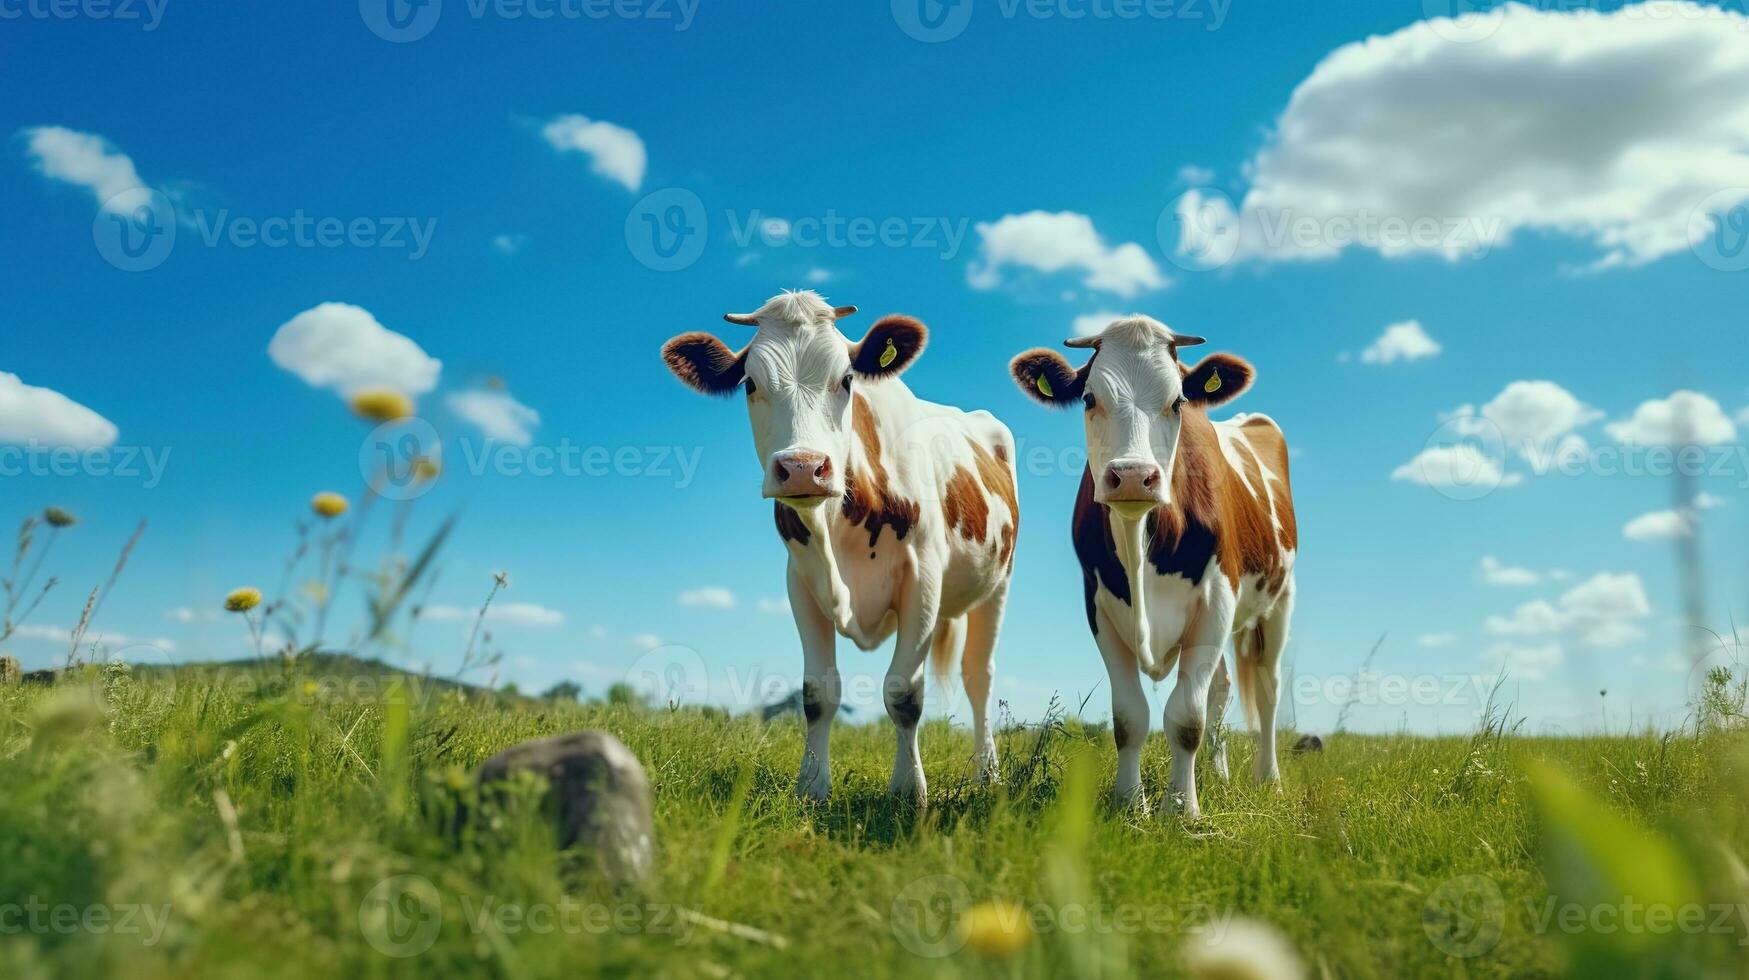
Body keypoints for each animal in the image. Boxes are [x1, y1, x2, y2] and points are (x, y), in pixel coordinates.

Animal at [657, 290, 1021, 805]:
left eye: (846, 380)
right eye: (750, 383)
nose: (802, 467)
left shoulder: (923, 582)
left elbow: (904, 694)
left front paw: (908, 791)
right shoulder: (800, 583)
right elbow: (817, 694)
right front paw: (811, 785)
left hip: (998, 585)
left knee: (979, 677)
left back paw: (987, 773)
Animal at [1014, 315, 1301, 819]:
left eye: (1178, 401)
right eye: (1089, 398)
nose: (1132, 476)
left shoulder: (1217, 600)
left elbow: (1186, 717)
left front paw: (1182, 810)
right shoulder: (1100, 606)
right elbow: (1130, 717)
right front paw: (1131, 803)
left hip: (1279, 599)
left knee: (1267, 689)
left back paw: (1268, 779)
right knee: (1222, 687)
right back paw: (1219, 775)